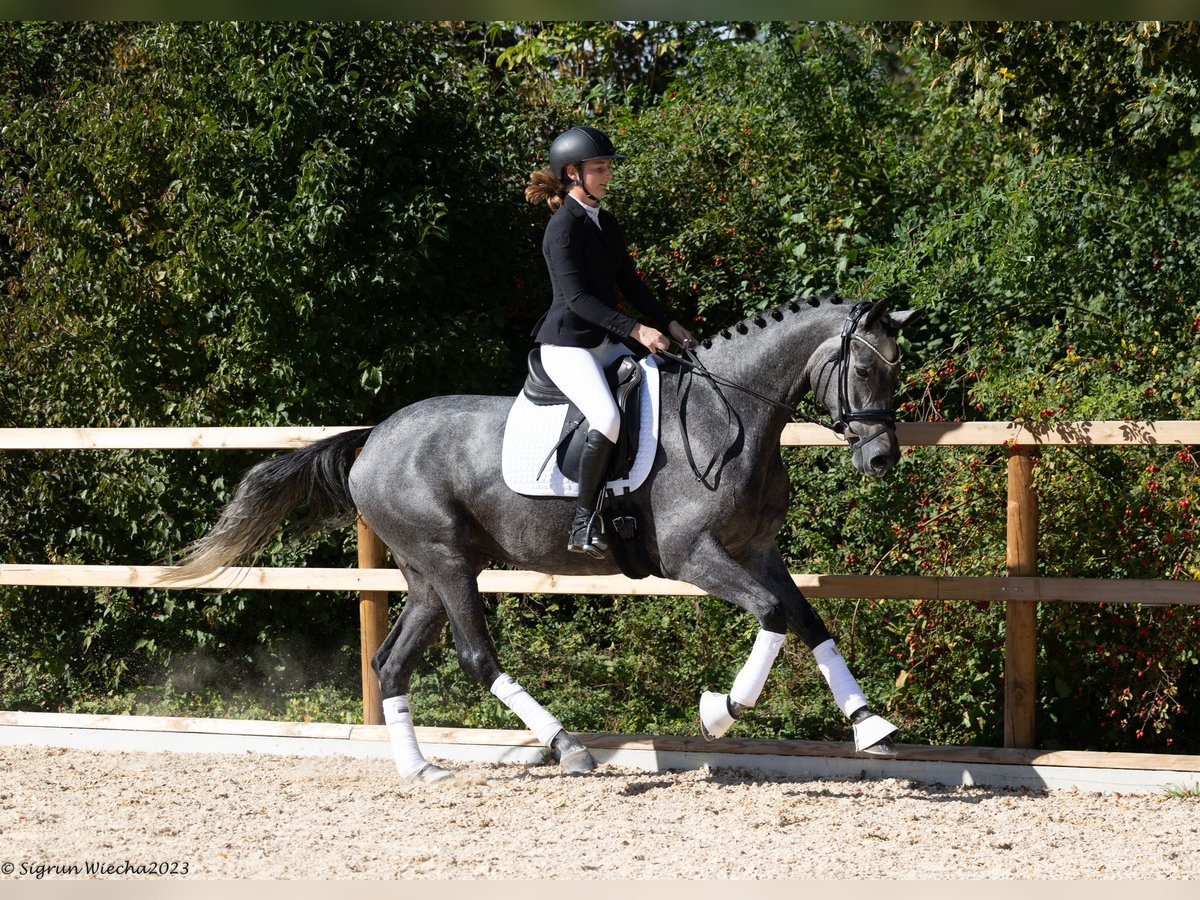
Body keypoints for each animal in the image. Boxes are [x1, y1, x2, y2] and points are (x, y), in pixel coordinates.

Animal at [164, 294, 921, 782]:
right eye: (863, 369)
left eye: (896, 369)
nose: (881, 458)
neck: (726, 414)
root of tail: (374, 438)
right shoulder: (693, 556)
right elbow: (771, 616)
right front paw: (719, 713)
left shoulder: (757, 551)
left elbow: (808, 619)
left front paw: (871, 725)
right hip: (447, 563)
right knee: (476, 657)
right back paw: (567, 747)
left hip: (428, 574)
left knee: (391, 663)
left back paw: (420, 770)